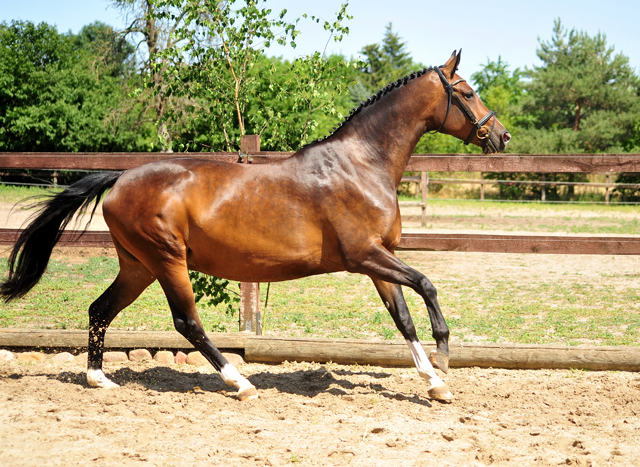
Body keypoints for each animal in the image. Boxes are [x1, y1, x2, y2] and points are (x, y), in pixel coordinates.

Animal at [0, 50, 510, 402]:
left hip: (138, 265)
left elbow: (402, 316)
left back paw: (98, 378)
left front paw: (435, 383)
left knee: (99, 310)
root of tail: (122, 178)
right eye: (466, 92)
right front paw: (444, 355)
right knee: (187, 322)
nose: (501, 136)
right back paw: (240, 382)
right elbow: (426, 284)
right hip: (167, 260)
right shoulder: (365, 255)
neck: (363, 164)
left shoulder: (377, 260)